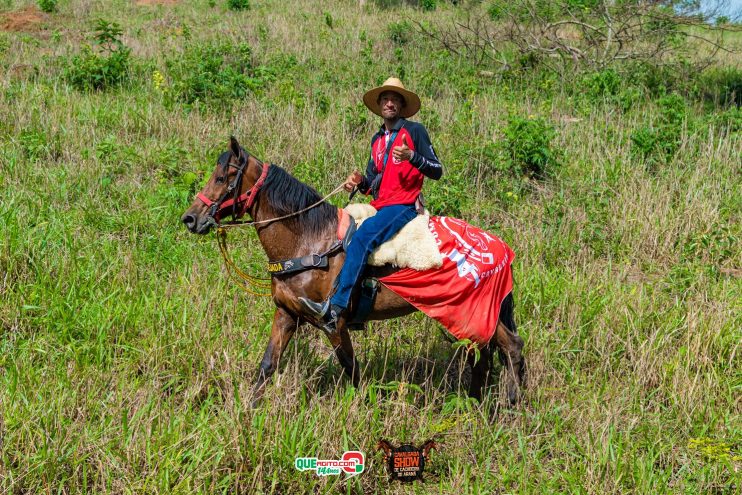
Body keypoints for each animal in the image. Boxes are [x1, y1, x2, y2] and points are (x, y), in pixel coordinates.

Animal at [182, 139, 528, 406]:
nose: (190, 218)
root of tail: (501, 248)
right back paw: (475, 402)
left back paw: (510, 406)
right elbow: (268, 364)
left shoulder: (334, 323)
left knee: (510, 348)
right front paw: (249, 410)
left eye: (223, 177)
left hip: (479, 313)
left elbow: (350, 367)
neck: (309, 241)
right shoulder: (286, 314)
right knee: (483, 357)